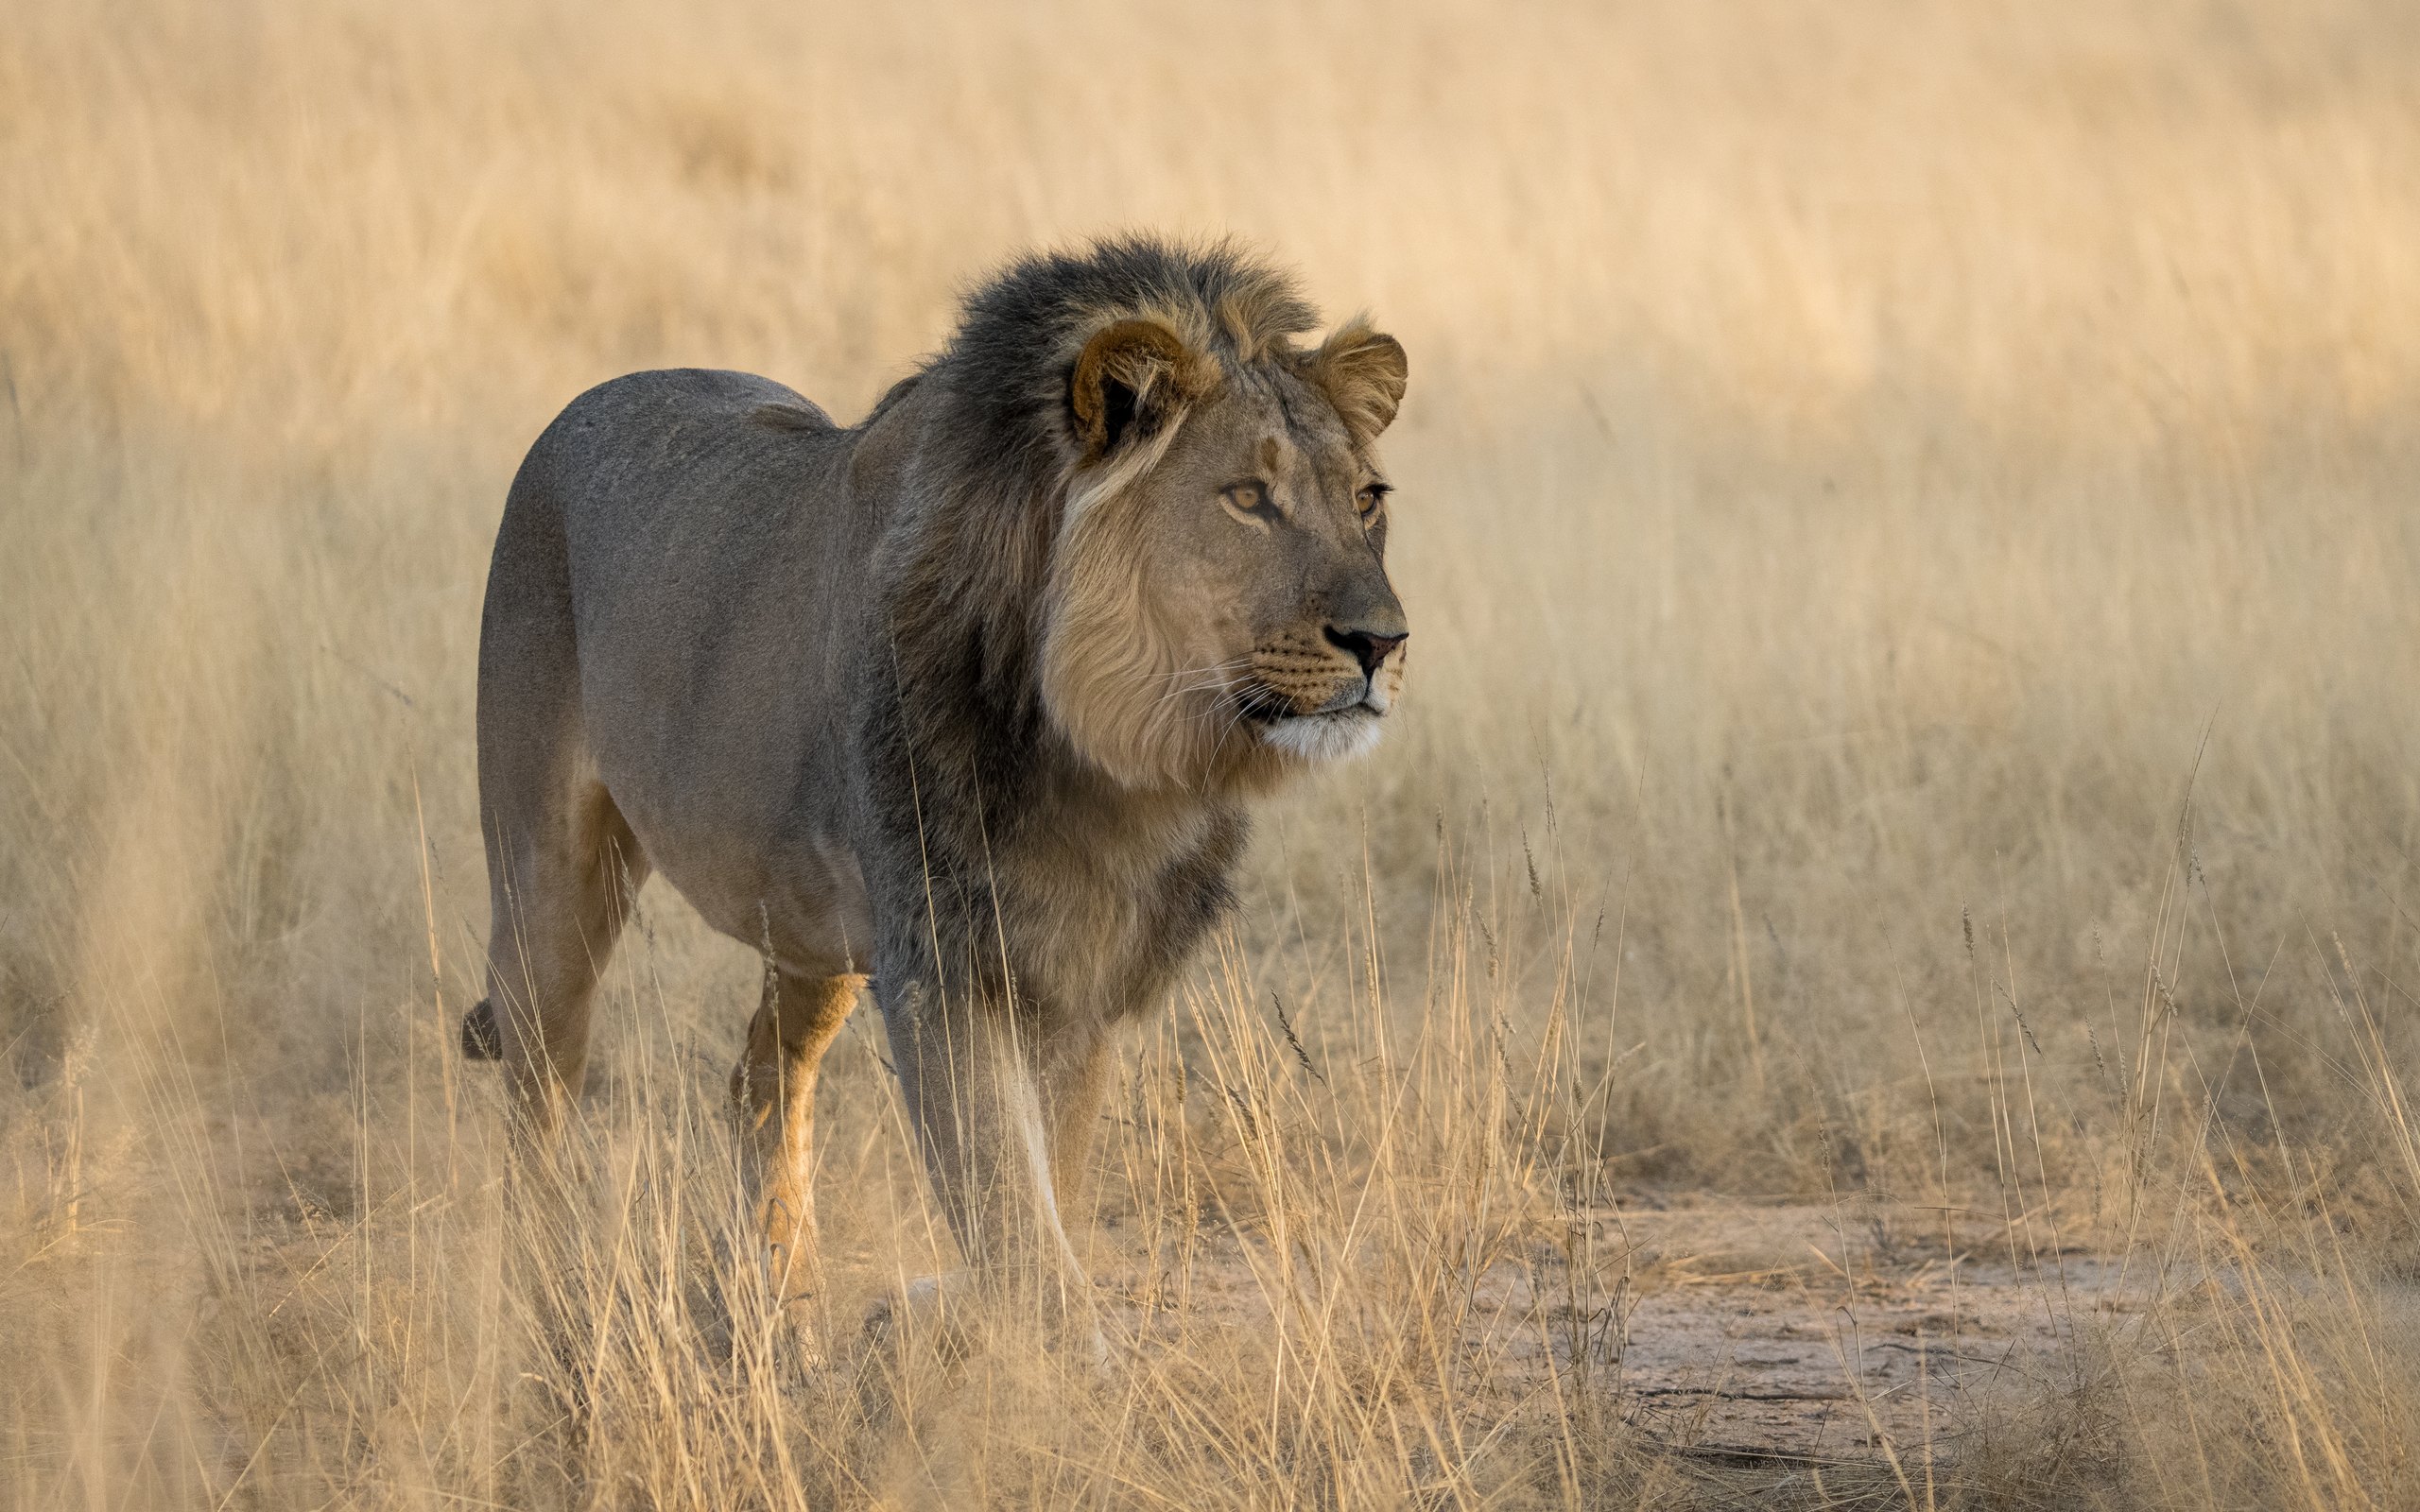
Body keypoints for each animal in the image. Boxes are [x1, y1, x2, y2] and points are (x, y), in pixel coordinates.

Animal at [461, 236, 1410, 1344]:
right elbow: (1011, 1207)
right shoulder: (946, 965)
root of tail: (586, 403)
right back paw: (552, 1302)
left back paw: (782, 1297)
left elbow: (1049, 1187)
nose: (1382, 641)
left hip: (814, 929)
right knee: (538, 1091)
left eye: (1366, 499)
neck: (1111, 756)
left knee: (760, 1076)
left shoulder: (1075, 975)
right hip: (549, 883)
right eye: (1248, 497)